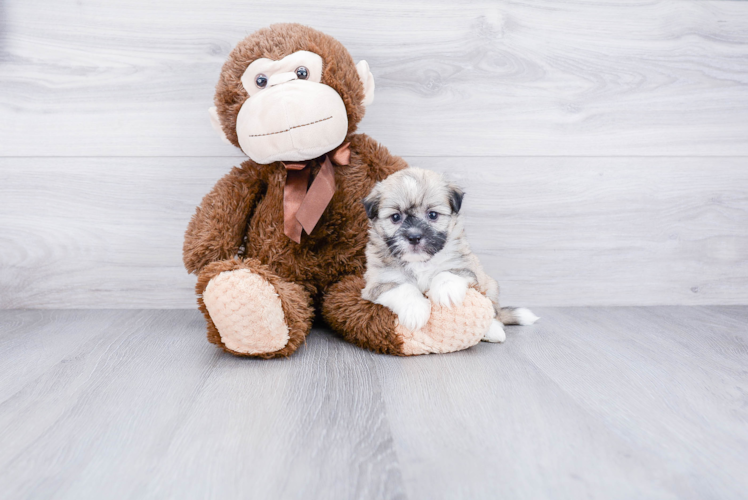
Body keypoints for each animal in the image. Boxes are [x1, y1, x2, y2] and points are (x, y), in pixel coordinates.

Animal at [362, 168, 536, 344]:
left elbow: (447, 272)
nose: (414, 237)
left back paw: (493, 330)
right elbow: (403, 288)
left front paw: (446, 290)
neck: (420, 262)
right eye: (396, 217)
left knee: (494, 312)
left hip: (490, 286)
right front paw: (415, 310)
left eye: (432, 215)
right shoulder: (377, 284)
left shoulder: (465, 266)